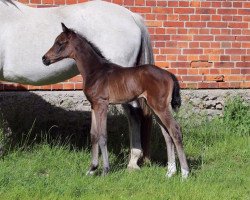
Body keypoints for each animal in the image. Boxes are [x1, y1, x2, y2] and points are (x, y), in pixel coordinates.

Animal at [42, 23, 189, 178]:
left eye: (60, 43)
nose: (44, 59)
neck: (95, 71)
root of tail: (169, 74)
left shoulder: (102, 104)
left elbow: (102, 135)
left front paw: (105, 170)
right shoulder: (94, 105)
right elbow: (93, 134)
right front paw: (92, 169)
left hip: (160, 107)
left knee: (175, 130)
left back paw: (184, 173)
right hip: (154, 107)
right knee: (167, 134)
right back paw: (170, 172)